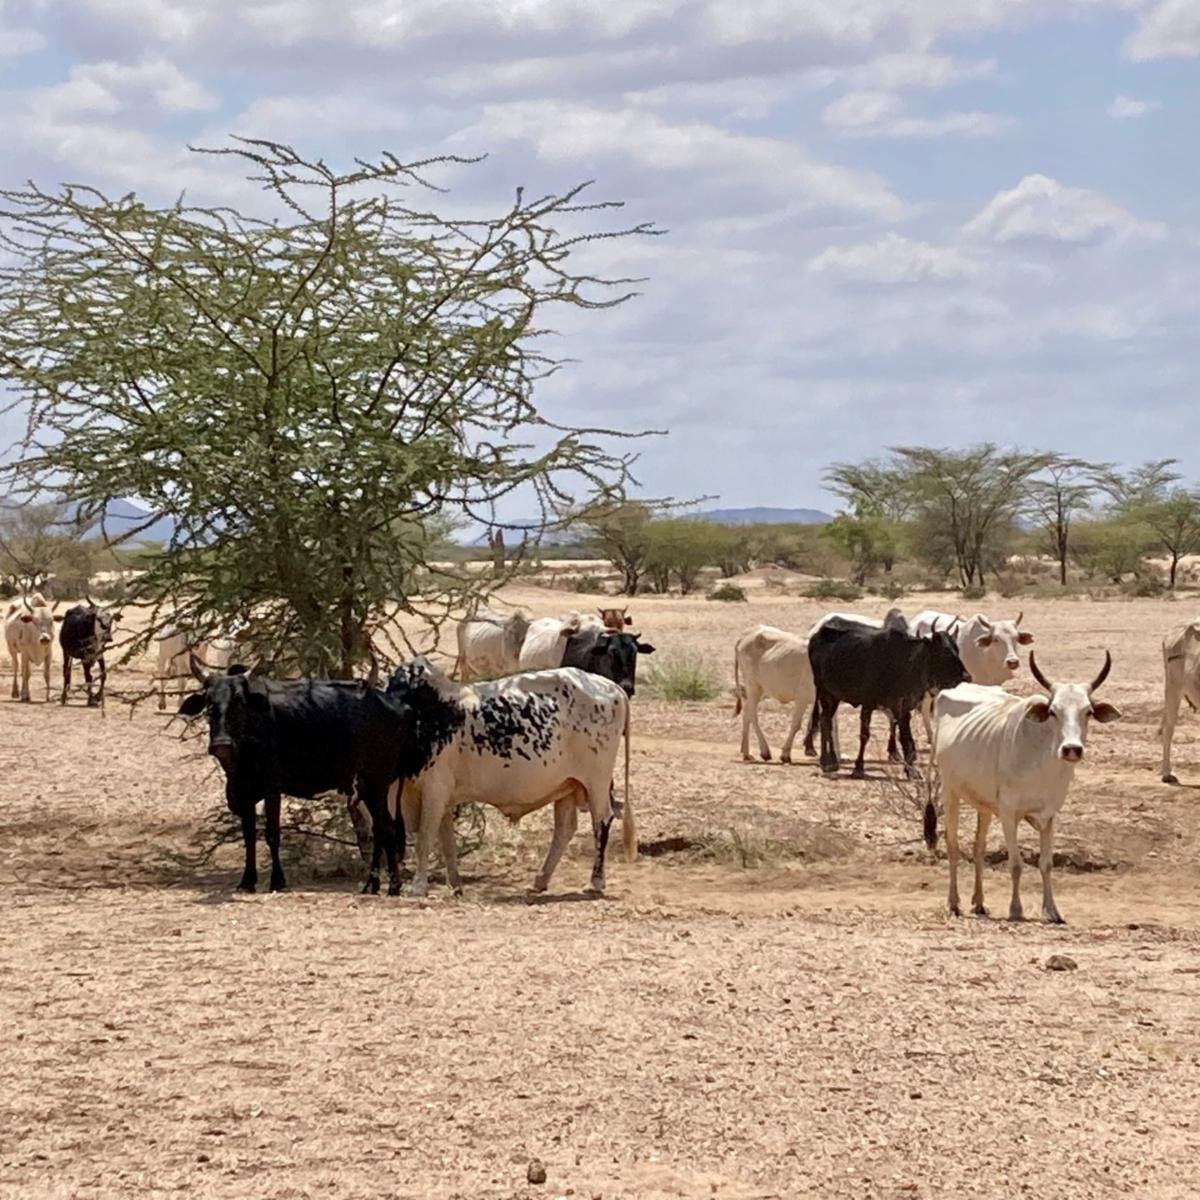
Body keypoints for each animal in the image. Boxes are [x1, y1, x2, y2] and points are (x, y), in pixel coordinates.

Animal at [177, 666, 408, 894]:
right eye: (208, 703)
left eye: (239, 701)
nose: (221, 745)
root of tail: (396, 706)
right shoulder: (244, 792)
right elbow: (249, 836)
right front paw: (247, 882)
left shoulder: (272, 786)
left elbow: (272, 833)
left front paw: (277, 881)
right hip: (369, 789)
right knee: (380, 829)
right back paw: (374, 885)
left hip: (377, 782)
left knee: (387, 828)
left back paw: (390, 887)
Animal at [381, 658, 632, 898]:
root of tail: (613, 688)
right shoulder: (438, 796)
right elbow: (447, 843)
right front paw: (456, 886)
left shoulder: (435, 789)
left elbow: (424, 840)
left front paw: (418, 887)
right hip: (568, 786)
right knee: (565, 829)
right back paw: (540, 881)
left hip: (597, 782)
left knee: (602, 821)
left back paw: (595, 882)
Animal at [809, 618, 969, 779]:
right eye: (945, 651)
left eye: (957, 650)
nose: (966, 677)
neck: (908, 663)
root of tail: (819, 634)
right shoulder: (868, 704)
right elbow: (865, 735)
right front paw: (858, 767)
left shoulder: (903, 708)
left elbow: (906, 739)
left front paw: (911, 770)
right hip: (825, 693)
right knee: (825, 722)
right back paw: (828, 762)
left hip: (834, 696)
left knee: (825, 720)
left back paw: (829, 761)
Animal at [928, 652, 1120, 924]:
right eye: (1053, 711)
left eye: (1089, 712)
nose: (1072, 749)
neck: (1041, 762)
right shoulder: (1009, 813)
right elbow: (1016, 864)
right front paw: (1016, 909)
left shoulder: (1049, 815)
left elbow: (1046, 863)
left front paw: (1052, 910)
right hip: (950, 791)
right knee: (953, 844)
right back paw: (954, 903)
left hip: (984, 805)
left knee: (978, 848)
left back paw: (979, 902)